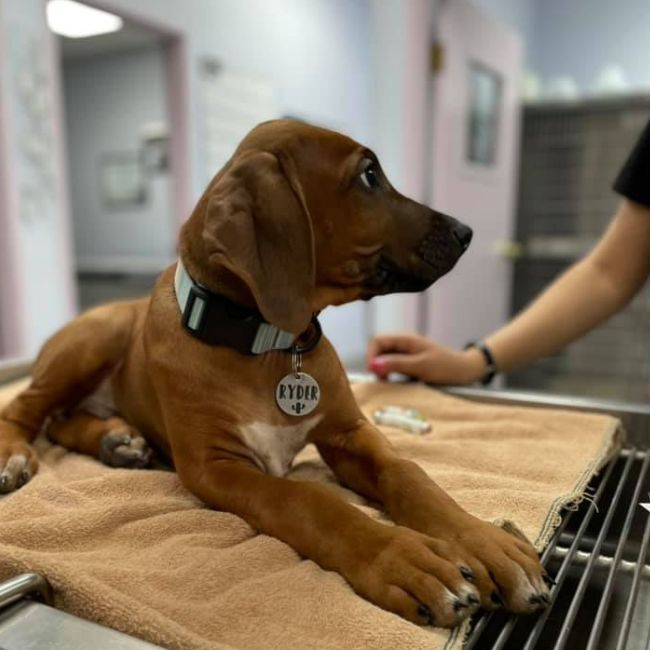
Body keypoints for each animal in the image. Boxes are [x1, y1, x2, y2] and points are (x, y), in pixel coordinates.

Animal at [0, 120, 548, 624]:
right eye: (369, 175)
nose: (465, 232)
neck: (269, 346)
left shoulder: (349, 433)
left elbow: (408, 473)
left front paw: (486, 542)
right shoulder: (216, 466)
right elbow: (306, 499)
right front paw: (404, 557)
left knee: (61, 420)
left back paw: (117, 440)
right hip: (99, 333)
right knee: (27, 410)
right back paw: (19, 454)